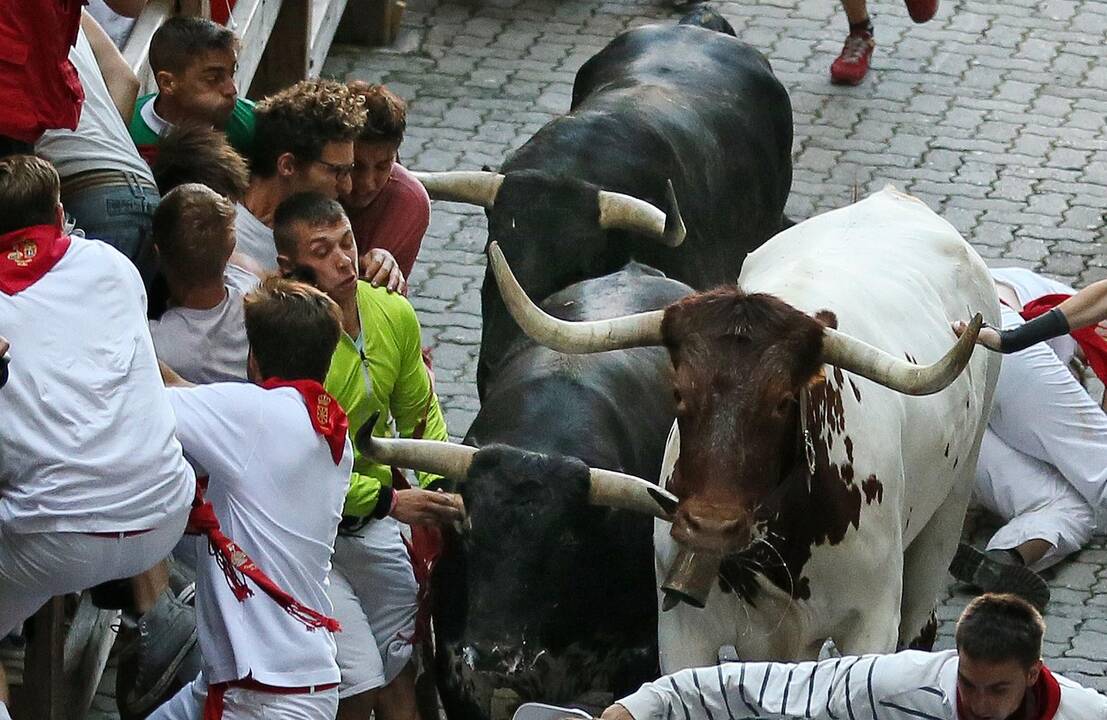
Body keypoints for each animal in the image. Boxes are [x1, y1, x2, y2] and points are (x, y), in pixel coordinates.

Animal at [484, 186, 1005, 669]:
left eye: (784, 401)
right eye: (679, 392)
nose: (710, 526)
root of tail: (894, 197)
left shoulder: (871, 623)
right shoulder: (683, 632)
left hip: (948, 512)